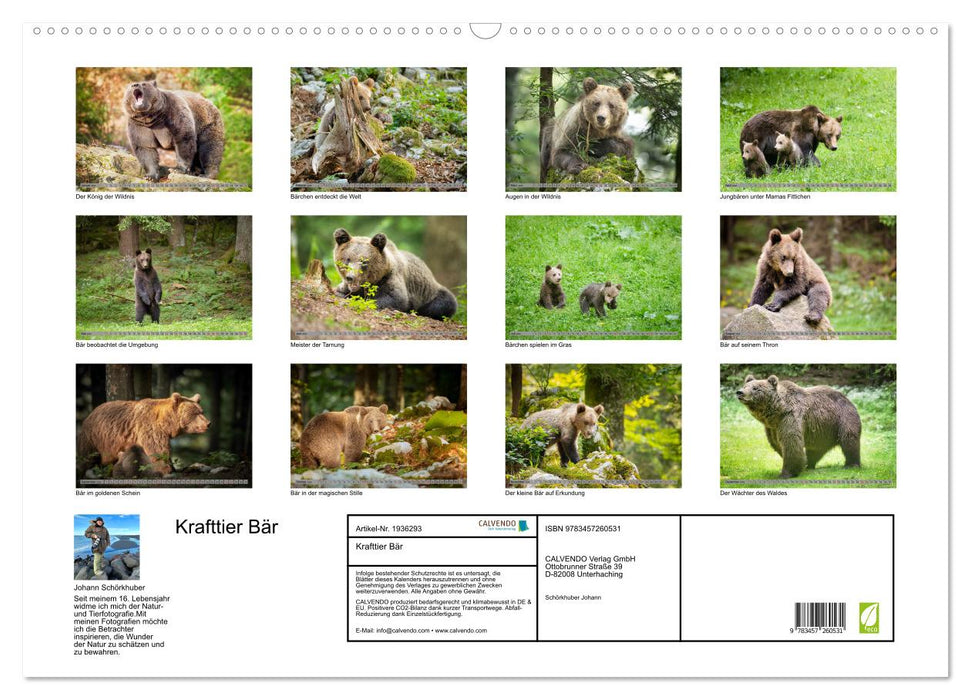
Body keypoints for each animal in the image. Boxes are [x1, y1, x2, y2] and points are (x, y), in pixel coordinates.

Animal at [76, 393, 210, 485]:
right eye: (195, 413)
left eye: (201, 411)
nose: (208, 423)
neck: (166, 424)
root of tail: (91, 413)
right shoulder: (150, 429)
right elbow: (158, 452)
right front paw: (165, 470)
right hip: (95, 437)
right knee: (86, 457)